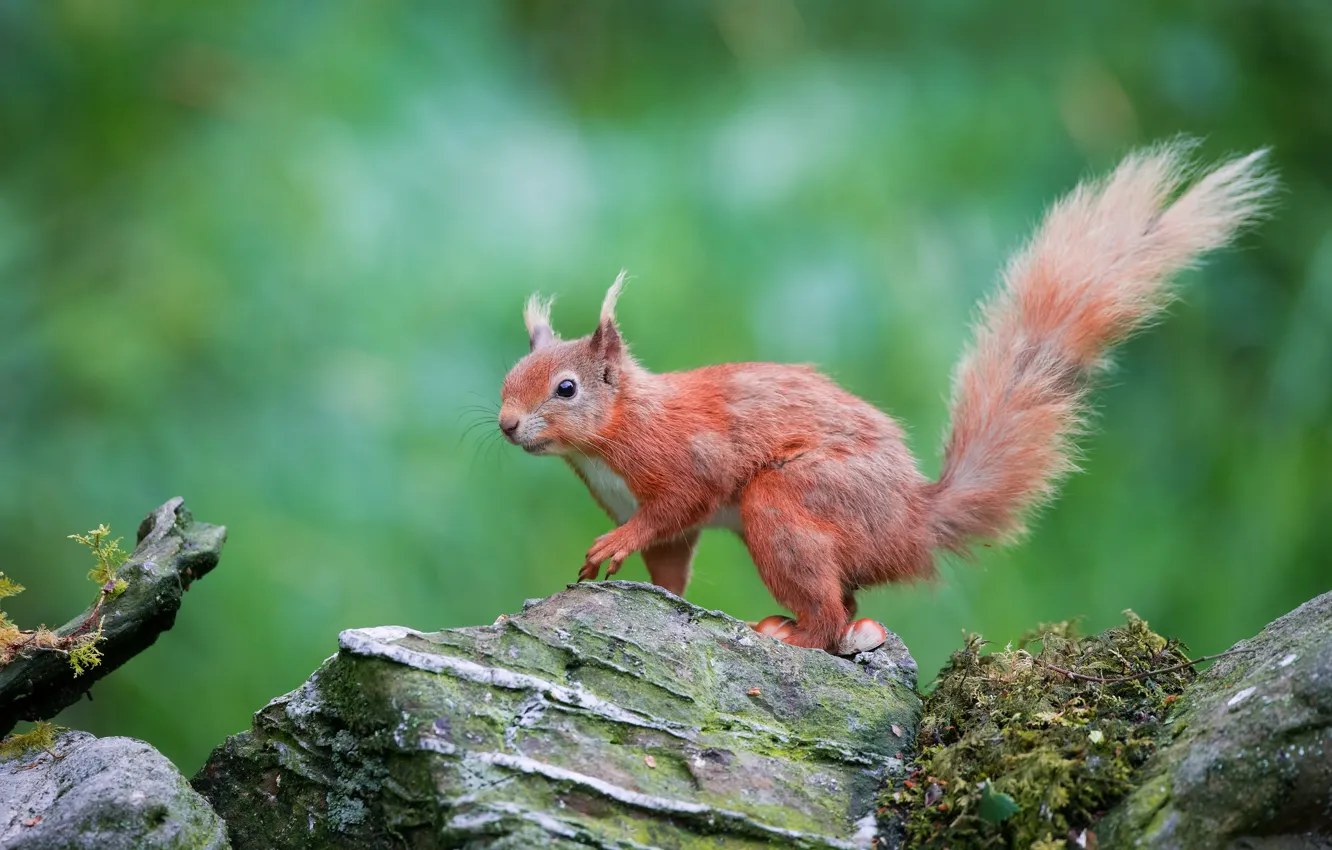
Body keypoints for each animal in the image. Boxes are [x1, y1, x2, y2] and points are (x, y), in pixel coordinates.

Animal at [498, 145, 1268, 652]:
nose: (506, 426)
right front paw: (650, 592)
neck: (613, 431)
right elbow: (671, 563)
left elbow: (676, 504)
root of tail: (912, 525)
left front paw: (613, 545)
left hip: (787, 503)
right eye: (509, 379)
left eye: (565, 388)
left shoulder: (682, 459)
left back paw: (795, 636)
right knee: (847, 599)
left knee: (828, 611)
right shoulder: (660, 522)